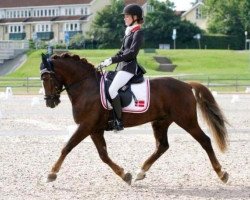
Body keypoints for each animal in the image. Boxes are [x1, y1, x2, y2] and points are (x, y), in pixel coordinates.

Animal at [39, 52, 229, 184]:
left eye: (47, 77)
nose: (50, 102)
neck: (86, 86)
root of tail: (187, 85)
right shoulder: (94, 129)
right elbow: (103, 155)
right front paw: (125, 175)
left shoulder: (86, 126)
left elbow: (67, 147)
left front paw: (51, 173)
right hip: (160, 122)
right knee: (162, 146)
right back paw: (140, 172)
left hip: (186, 121)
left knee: (205, 141)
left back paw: (221, 173)